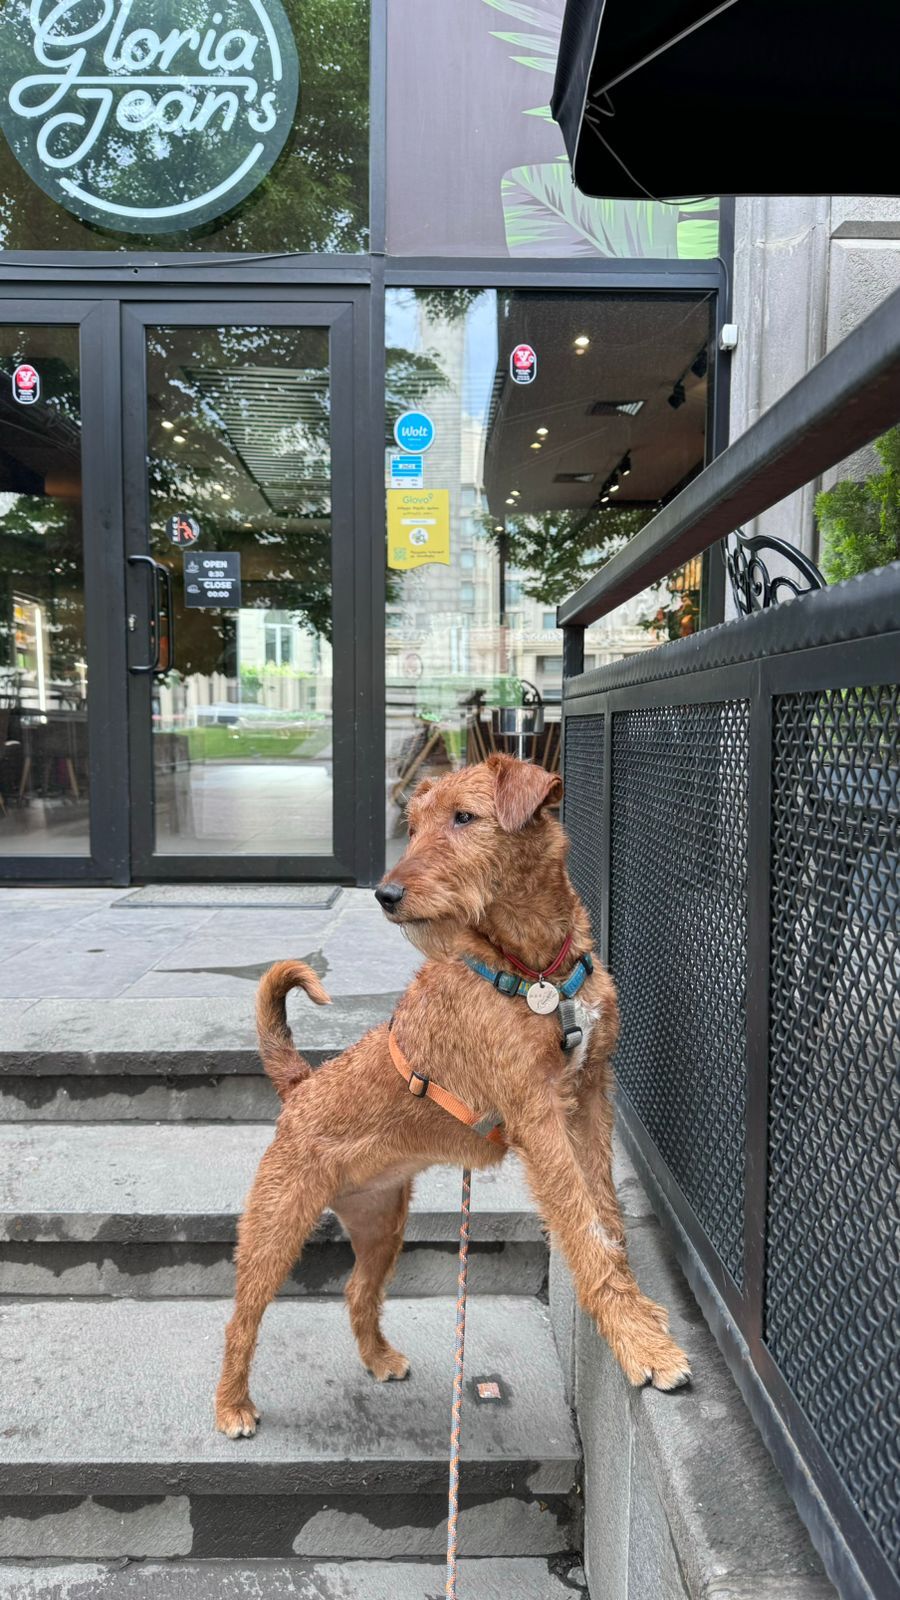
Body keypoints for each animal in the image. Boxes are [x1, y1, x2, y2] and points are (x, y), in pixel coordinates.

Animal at [215, 754, 689, 1438]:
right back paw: (232, 1406)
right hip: (275, 1225)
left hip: (382, 1223)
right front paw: (643, 1344)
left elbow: (605, 1216)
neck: (534, 969)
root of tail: (301, 1086)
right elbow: (583, 1229)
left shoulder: (591, 1094)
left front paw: (640, 1318)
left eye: (464, 817)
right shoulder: (537, 1118)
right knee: (240, 1317)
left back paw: (380, 1359)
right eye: (411, 826)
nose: (385, 894)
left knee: (357, 1291)